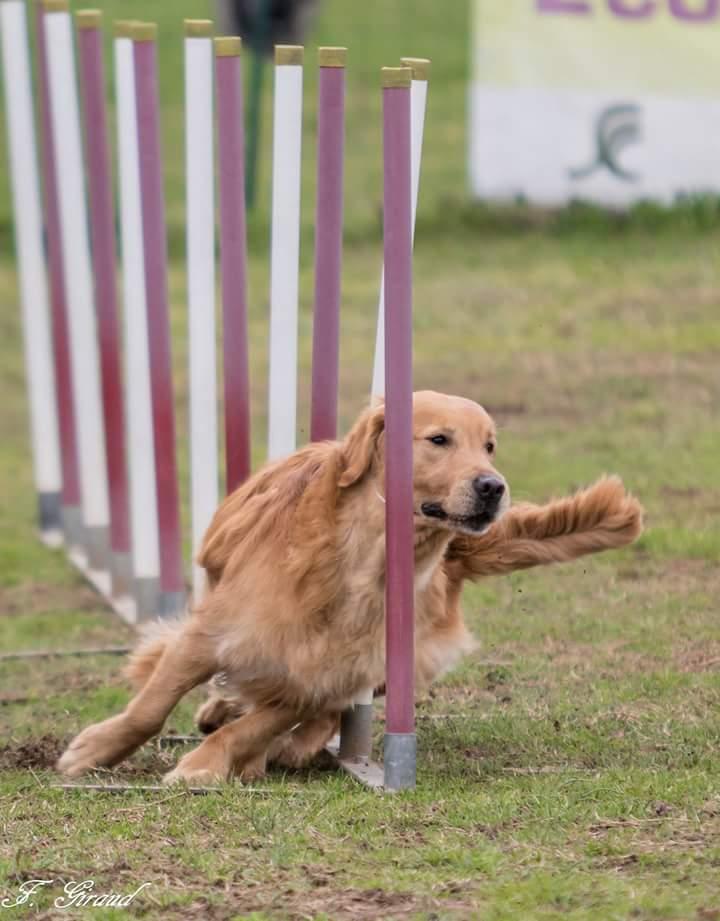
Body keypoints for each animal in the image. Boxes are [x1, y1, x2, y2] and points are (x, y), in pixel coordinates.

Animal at [57, 390, 640, 784]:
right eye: (439, 439)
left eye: (490, 446)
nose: (493, 487)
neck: (359, 563)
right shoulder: (211, 632)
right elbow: (149, 707)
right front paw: (95, 750)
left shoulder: (319, 673)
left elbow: (257, 725)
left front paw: (206, 765)